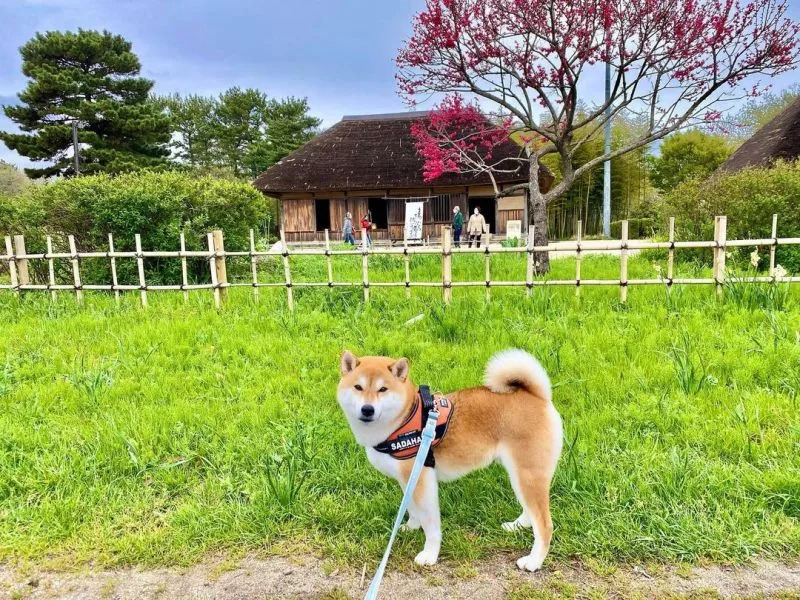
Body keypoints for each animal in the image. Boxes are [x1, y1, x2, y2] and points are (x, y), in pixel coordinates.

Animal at [338, 352, 564, 572]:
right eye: (358, 387)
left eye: (383, 389)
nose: (367, 409)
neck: (404, 419)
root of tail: (538, 396)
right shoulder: (408, 479)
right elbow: (411, 508)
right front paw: (411, 527)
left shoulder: (423, 481)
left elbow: (431, 524)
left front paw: (429, 555)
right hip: (520, 475)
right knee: (530, 512)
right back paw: (517, 526)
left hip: (528, 474)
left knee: (544, 525)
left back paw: (533, 561)